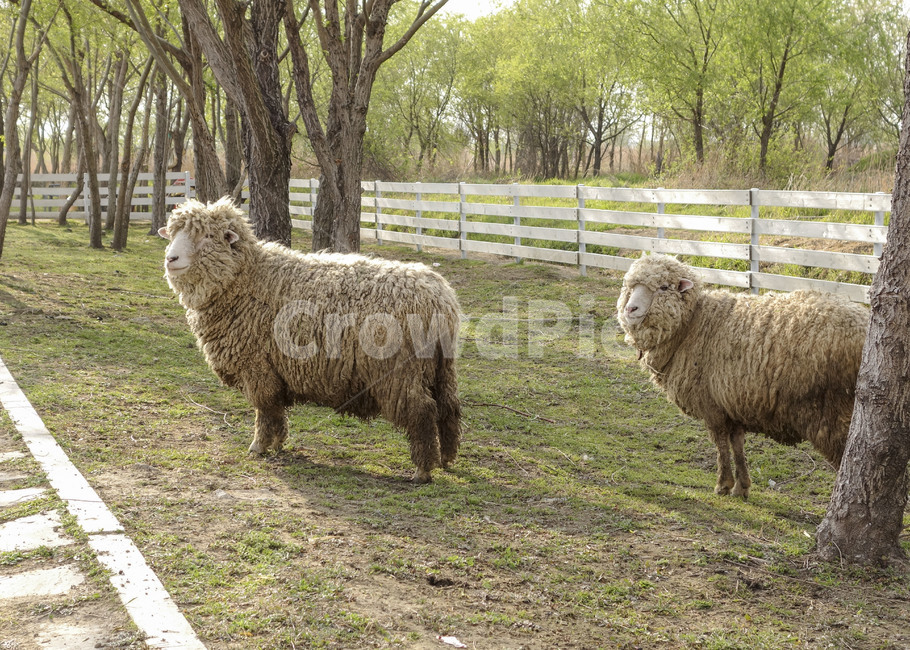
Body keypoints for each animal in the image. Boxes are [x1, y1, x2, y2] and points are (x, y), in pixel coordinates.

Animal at [158, 197, 462, 483]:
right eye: (172, 234)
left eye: (207, 236)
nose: (170, 259)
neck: (245, 279)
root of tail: (440, 298)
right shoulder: (273, 369)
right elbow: (276, 409)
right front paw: (278, 443)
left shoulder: (257, 365)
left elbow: (264, 408)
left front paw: (258, 446)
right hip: (441, 367)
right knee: (449, 407)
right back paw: (447, 459)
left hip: (400, 372)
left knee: (422, 412)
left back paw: (423, 470)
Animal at [616, 253, 868, 498]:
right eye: (630, 286)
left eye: (663, 287)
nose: (630, 309)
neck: (692, 324)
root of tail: (863, 324)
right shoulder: (731, 402)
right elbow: (736, 443)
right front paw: (742, 487)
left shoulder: (711, 404)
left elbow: (720, 444)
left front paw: (723, 485)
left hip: (834, 414)